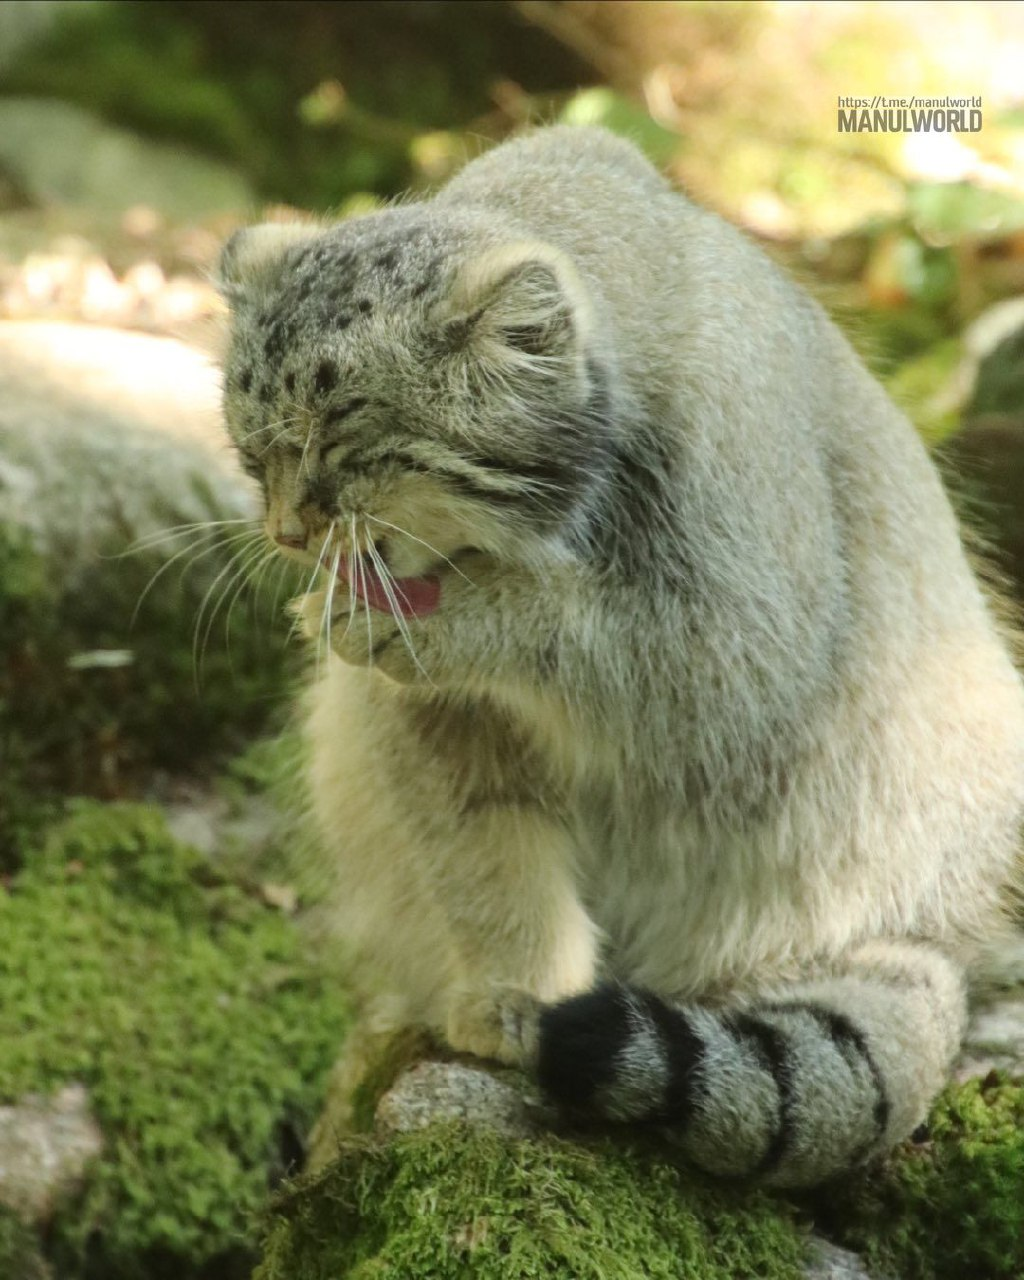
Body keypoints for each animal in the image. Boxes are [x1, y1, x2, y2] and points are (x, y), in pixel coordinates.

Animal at [217, 125, 1024, 1186]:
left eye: (344, 448)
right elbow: (486, 860)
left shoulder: (740, 659)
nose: (286, 534)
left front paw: (459, 621)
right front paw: (517, 993)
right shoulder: (430, 731)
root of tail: (934, 932)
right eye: (252, 450)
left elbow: (572, 630)